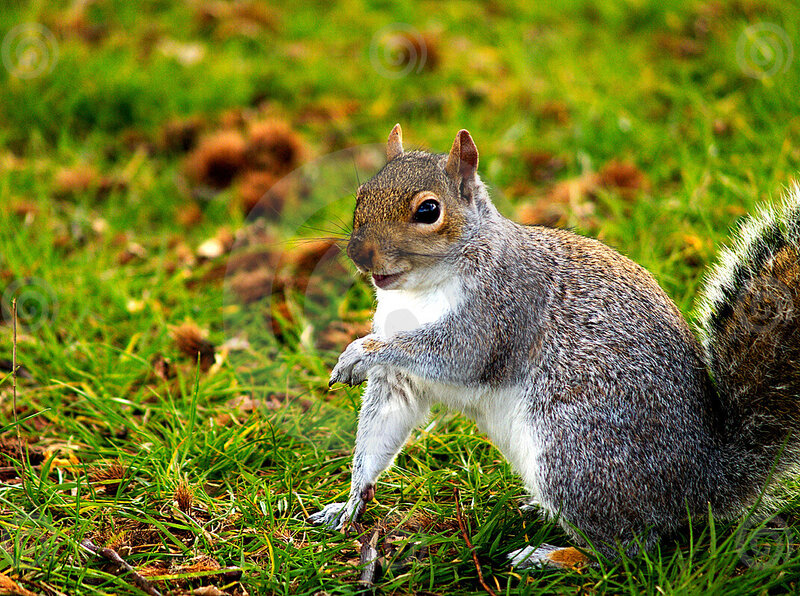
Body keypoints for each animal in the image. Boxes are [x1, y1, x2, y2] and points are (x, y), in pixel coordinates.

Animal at [309, 124, 800, 568]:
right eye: (361, 195)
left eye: (429, 210)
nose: (359, 255)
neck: (420, 290)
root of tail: (702, 481)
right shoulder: (400, 381)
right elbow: (380, 430)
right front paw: (349, 504)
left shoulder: (500, 313)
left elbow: (456, 355)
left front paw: (359, 352)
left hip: (573, 453)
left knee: (627, 551)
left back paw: (549, 556)